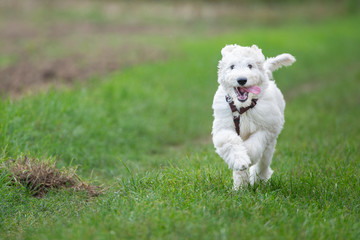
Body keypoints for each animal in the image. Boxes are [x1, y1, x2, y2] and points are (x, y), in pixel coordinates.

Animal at [211, 44, 296, 189]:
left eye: (250, 66)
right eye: (232, 66)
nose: (241, 80)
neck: (243, 108)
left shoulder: (266, 129)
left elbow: (254, 145)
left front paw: (248, 156)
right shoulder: (223, 128)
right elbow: (230, 142)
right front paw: (240, 160)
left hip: (270, 145)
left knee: (263, 164)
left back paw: (258, 180)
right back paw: (240, 187)